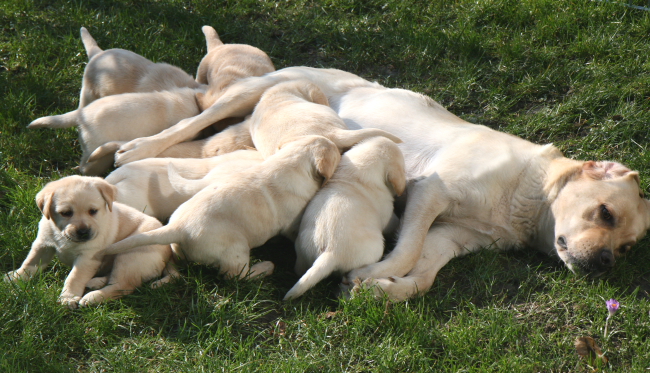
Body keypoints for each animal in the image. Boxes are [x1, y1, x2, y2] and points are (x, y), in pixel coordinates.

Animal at [5, 176, 177, 310]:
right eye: (66, 213)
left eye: (93, 211)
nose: (83, 232)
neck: (63, 236)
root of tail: (169, 252)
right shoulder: (43, 244)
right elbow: (30, 262)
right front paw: (17, 277)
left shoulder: (87, 258)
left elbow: (74, 277)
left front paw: (68, 297)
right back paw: (95, 282)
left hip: (130, 256)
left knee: (123, 286)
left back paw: (93, 297)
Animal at [284, 137, 404, 300]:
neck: (359, 169)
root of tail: (331, 253)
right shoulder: (388, 215)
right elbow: (393, 222)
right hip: (374, 250)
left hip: (302, 251)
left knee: (300, 270)